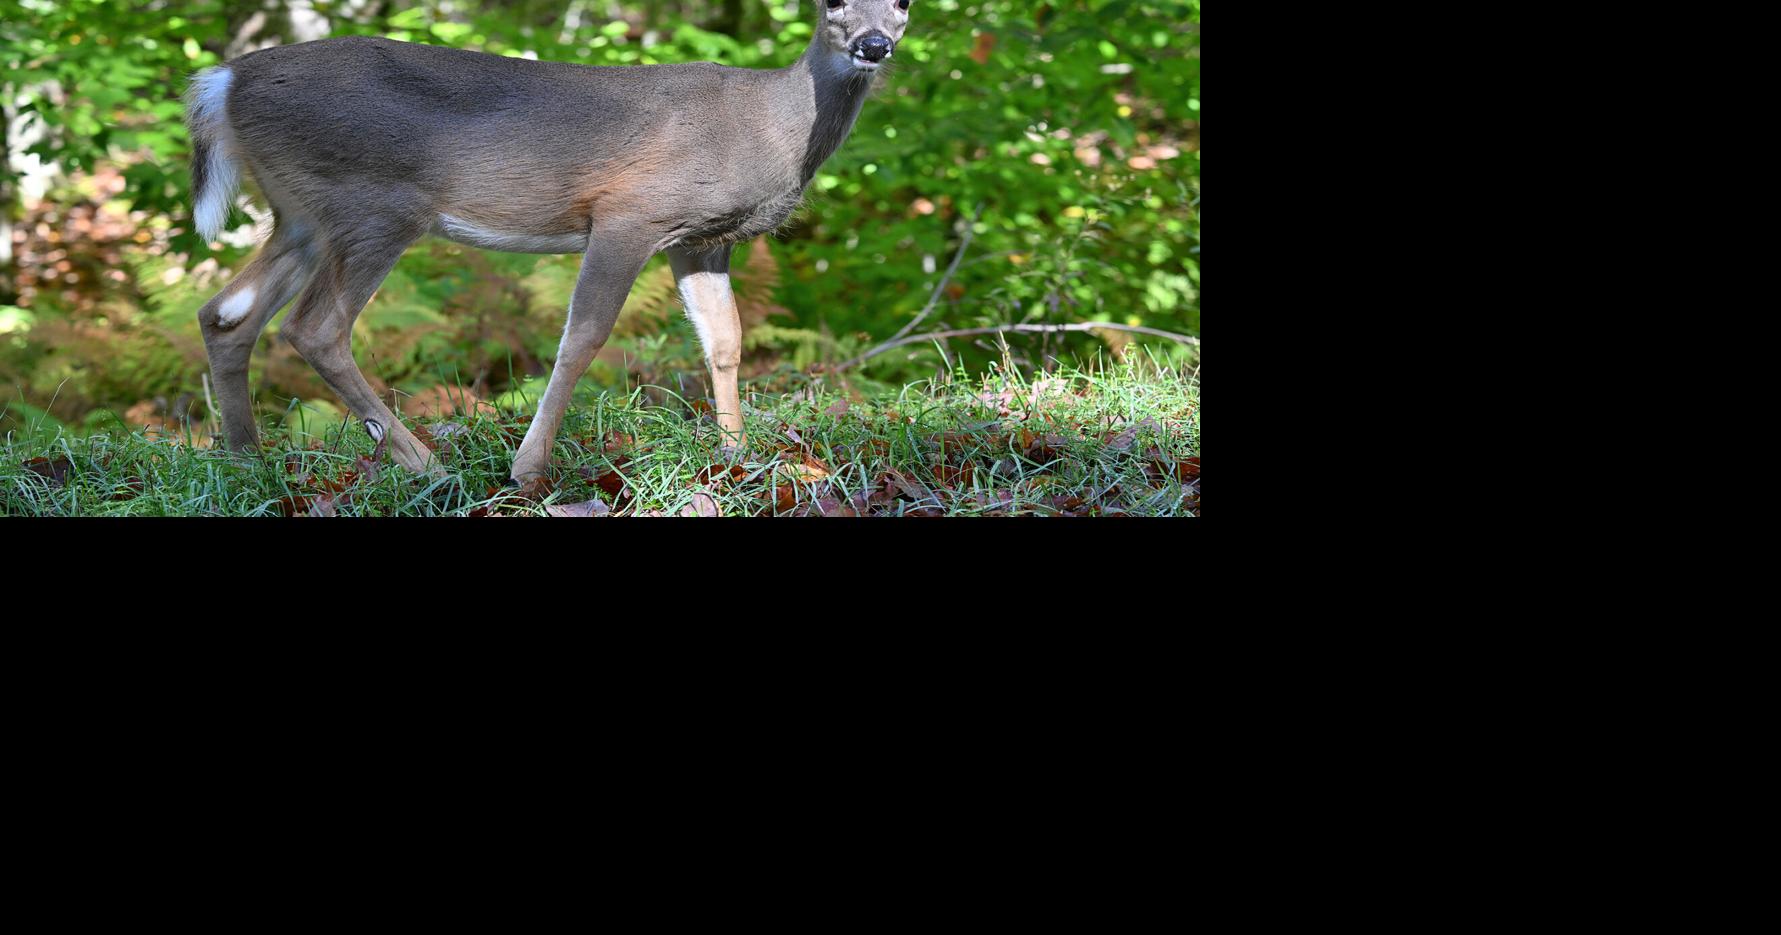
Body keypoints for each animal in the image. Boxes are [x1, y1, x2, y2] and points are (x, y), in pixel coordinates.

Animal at [183, 1, 913, 483]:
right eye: (831, 1)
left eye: (903, 1)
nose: (874, 44)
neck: (770, 129)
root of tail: (222, 83)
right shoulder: (631, 211)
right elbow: (583, 336)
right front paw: (528, 468)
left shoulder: (703, 240)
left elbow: (725, 340)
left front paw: (736, 454)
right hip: (371, 204)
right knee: (315, 328)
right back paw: (427, 464)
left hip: (301, 214)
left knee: (226, 313)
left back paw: (246, 461)